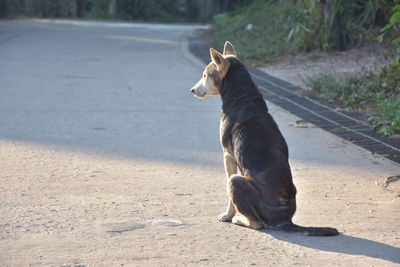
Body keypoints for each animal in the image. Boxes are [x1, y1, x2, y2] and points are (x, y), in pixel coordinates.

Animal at [190, 40, 338, 236]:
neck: (243, 96)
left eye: (205, 75)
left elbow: (228, 197)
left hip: (237, 181)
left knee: (257, 223)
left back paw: (239, 219)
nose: (192, 90)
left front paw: (228, 216)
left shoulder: (228, 156)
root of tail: (284, 220)